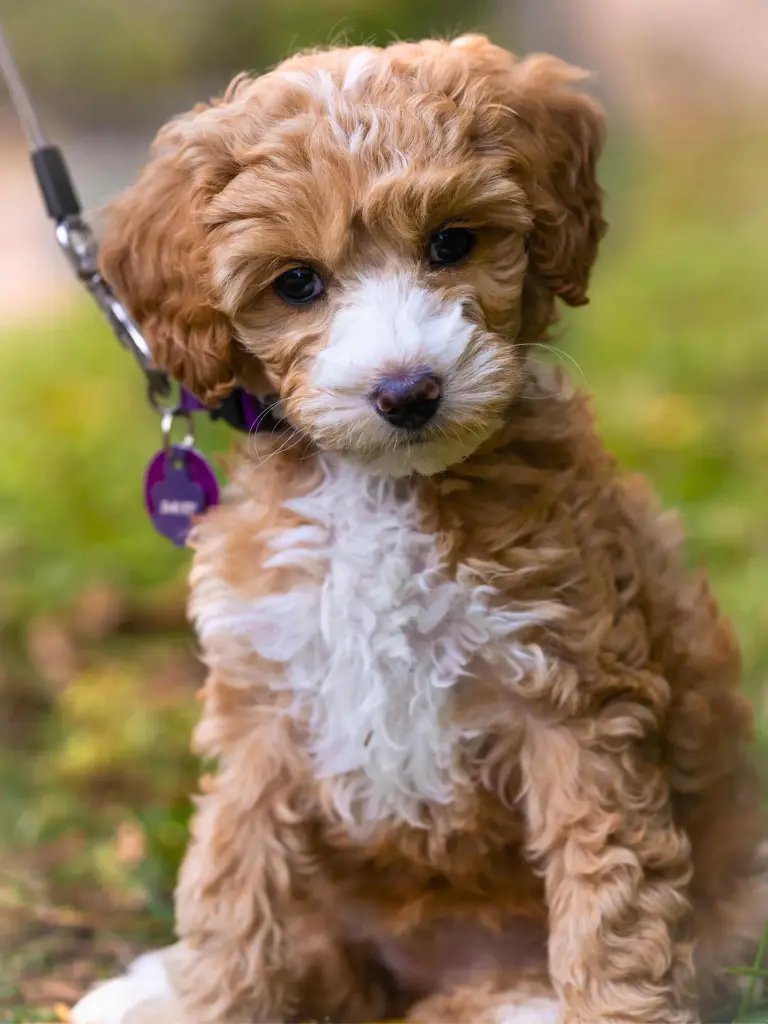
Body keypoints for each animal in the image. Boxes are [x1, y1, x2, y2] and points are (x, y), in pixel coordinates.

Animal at [69, 32, 765, 1024]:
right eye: (297, 283)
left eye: (451, 243)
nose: (408, 391)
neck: (381, 491)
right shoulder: (266, 705)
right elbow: (235, 884)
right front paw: (211, 996)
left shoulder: (577, 697)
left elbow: (610, 895)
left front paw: (616, 1007)